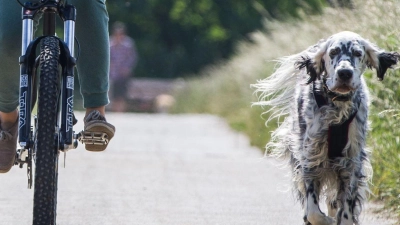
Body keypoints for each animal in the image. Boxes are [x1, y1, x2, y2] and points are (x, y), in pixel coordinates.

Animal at [255, 30, 398, 224]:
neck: (336, 107)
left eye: (357, 53)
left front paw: (341, 217)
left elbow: (346, 208)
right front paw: (326, 220)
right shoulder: (311, 158)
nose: (344, 73)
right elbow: (313, 212)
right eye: (333, 52)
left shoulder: (351, 162)